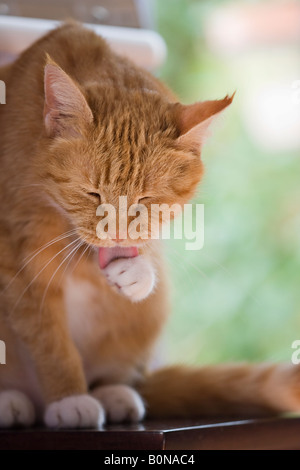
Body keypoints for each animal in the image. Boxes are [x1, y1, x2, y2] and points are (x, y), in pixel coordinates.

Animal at [0, 22, 298, 428]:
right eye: (92, 194)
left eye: (145, 200)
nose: (116, 234)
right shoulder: (22, 262)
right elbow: (51, 341)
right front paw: (68, 397)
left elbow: (139, 257)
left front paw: (136, 273)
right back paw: (13, 400)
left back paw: (114, 393)